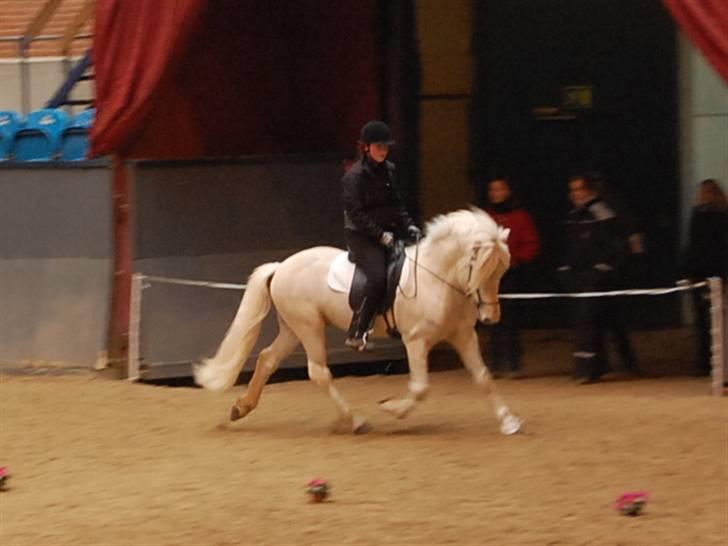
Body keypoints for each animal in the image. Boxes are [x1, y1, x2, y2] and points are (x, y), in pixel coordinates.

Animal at [193, 207, 524, 434]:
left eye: (502, 271)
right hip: (309, 326)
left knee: (267, 359)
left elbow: (483, 378)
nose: (490, 316)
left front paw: (509, 421)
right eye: (480, 268)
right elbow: (420, 388)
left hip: (293, 328)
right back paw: (356, 421)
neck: (437, 277)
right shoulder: (416, 341)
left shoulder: (463, 336)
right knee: (318, 372)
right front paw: (393, 409)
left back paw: (241, 408)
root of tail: (282, 266)